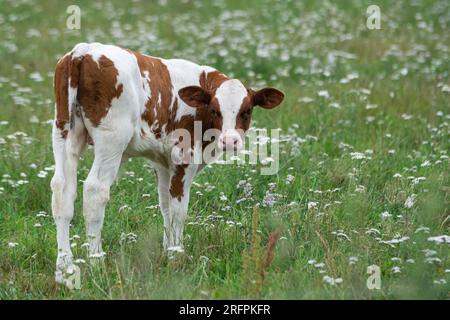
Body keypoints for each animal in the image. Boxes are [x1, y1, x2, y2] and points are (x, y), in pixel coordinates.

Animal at [51, 42, 284, 280]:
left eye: (247, 111)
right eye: (215, 110)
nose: (230, 141)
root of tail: (84, 50)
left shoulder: (162, 163)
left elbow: (165, 206)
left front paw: (166, 251)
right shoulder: (184, 158)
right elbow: (179, 210)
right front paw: (177, 256)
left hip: (63, 131)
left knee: (62, 191)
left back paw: (64, 268)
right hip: (112, 140)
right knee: (95, 191)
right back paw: (96, 262)